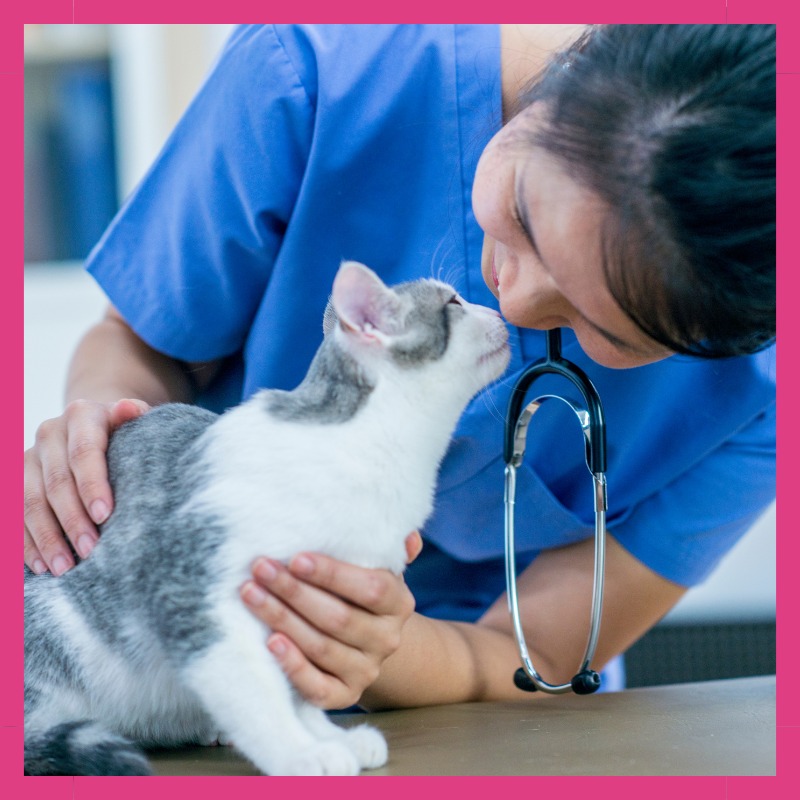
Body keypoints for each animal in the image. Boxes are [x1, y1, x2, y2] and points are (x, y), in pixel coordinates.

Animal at [26, 262, 512, 776]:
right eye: (454, 303)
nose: (496, 309)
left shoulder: (304, 615)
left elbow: (299, 687)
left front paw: (325, 734)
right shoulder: (193, 590)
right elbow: (256, 692)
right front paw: (299, 751)